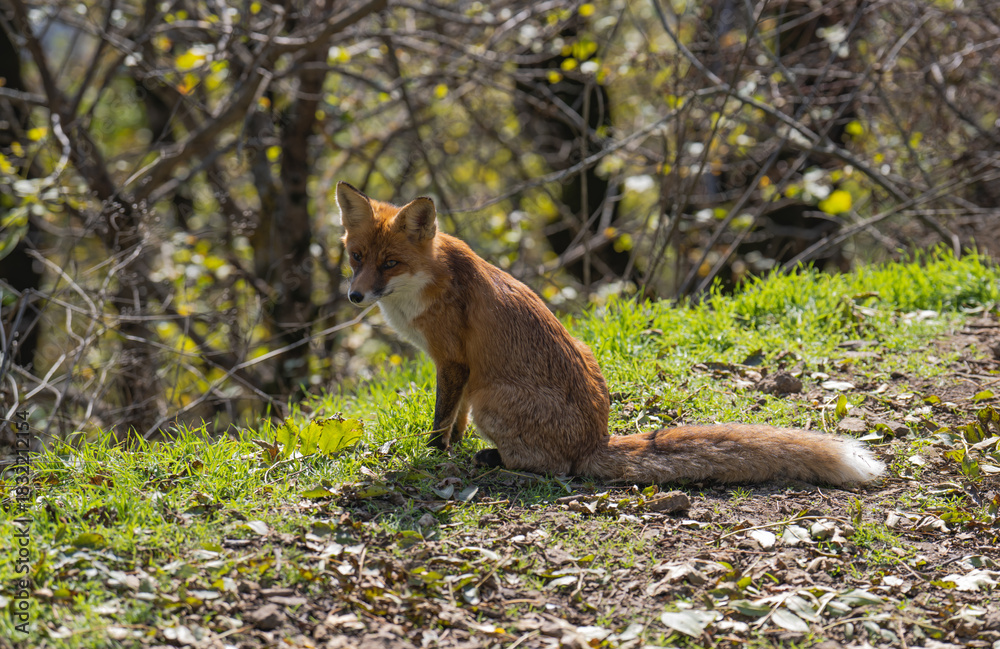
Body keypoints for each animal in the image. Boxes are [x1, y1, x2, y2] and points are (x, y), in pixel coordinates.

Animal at [336, 181, 884, 485]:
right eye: (356, 257)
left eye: (390, 263)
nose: (355, 297)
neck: (427, 281)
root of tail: (596, 439)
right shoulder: (459, 374)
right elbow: (455, 423)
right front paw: (446, 448)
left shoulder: (455, 364)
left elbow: (441, 426)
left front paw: (433, 457)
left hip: (495, 398)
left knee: (555, 469)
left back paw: (496, 461)